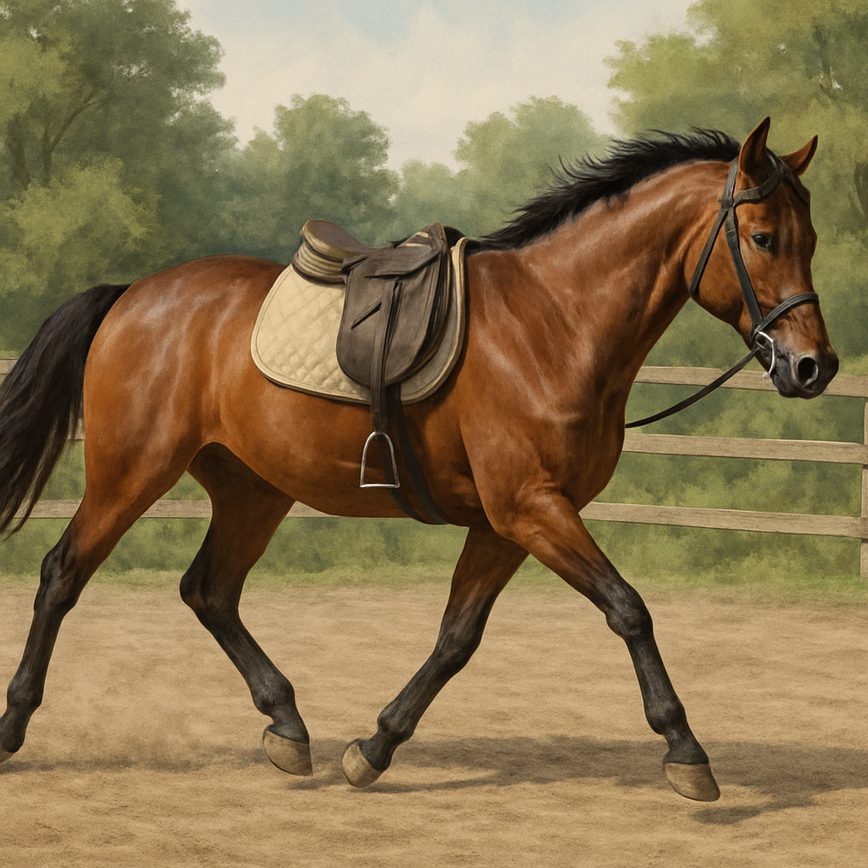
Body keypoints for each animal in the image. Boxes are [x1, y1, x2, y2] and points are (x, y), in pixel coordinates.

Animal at [0, 117, 838, 801]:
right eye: (763, 238)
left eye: (811, 240)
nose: (813, 367)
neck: (555, 321)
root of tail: (133, 294)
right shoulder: (531, 508)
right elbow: (628, 608)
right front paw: (686, 751)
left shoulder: (509, 522)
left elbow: (456, 637)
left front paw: (373, 747)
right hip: (132, 472)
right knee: (63, 574)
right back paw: (13, 728)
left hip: (253, 489)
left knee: (209, 590)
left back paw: (288, 727)